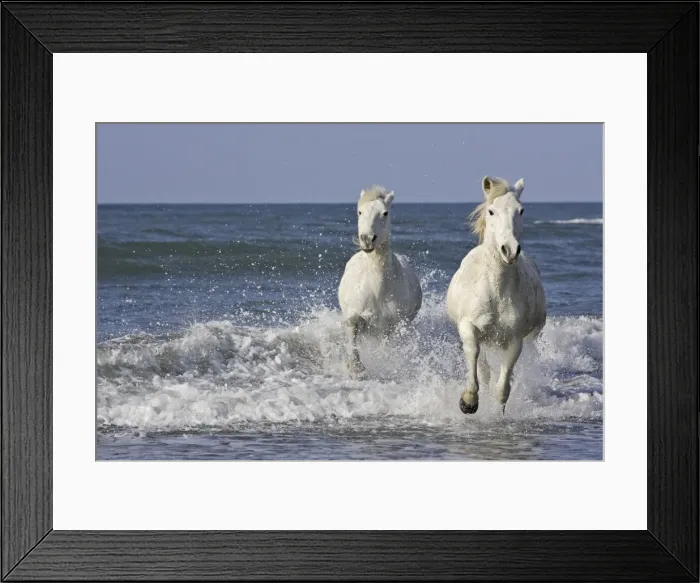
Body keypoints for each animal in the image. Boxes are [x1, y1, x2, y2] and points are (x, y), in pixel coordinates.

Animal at [338, 185, 423, 374]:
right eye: (360, 212)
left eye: (385, 213)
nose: (367, 239)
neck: (378, 289)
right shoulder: (357, 314)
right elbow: (352, 325)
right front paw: (355, 366)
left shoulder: (391, 327)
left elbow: (386, 347)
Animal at [446, 176, 546, 415]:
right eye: (491, 211)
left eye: (521, 210)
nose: (509, 250)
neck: (496, 290)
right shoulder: (468, 326)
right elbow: (473, 354)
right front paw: (469, 401)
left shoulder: (515, 340)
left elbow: (502, 387)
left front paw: (496, 412)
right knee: (483, 367)